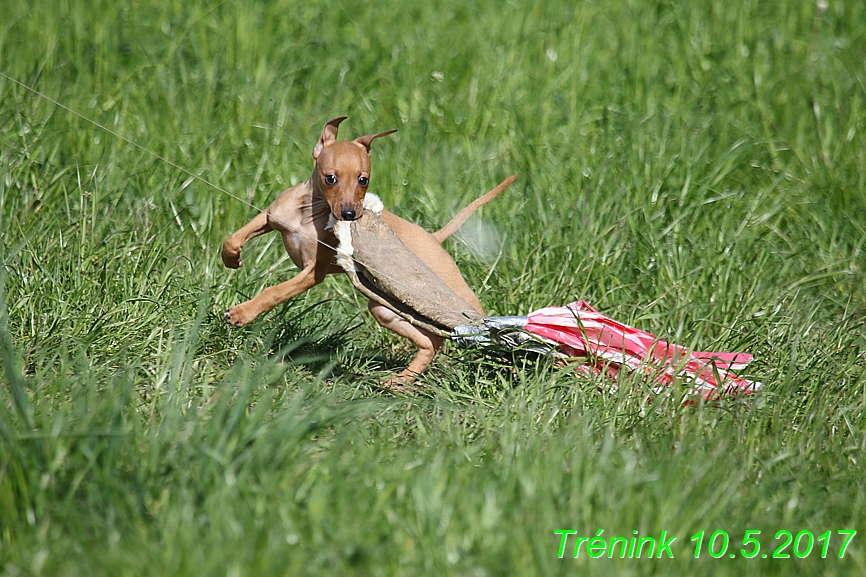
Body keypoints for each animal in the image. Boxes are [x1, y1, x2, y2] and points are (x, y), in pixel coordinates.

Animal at [219, 116, 512, 382]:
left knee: (473, 325)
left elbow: (275, 292)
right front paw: (231, 259)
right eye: (331, 178)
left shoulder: (312, 273)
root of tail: (433, 238)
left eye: (364, 180)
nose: (350, 214)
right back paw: (402, 381)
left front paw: (243, 313)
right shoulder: (271, 216)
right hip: (387, 310)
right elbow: (233, 239)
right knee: (431, 341)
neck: (307, 214)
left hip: (450, 297)